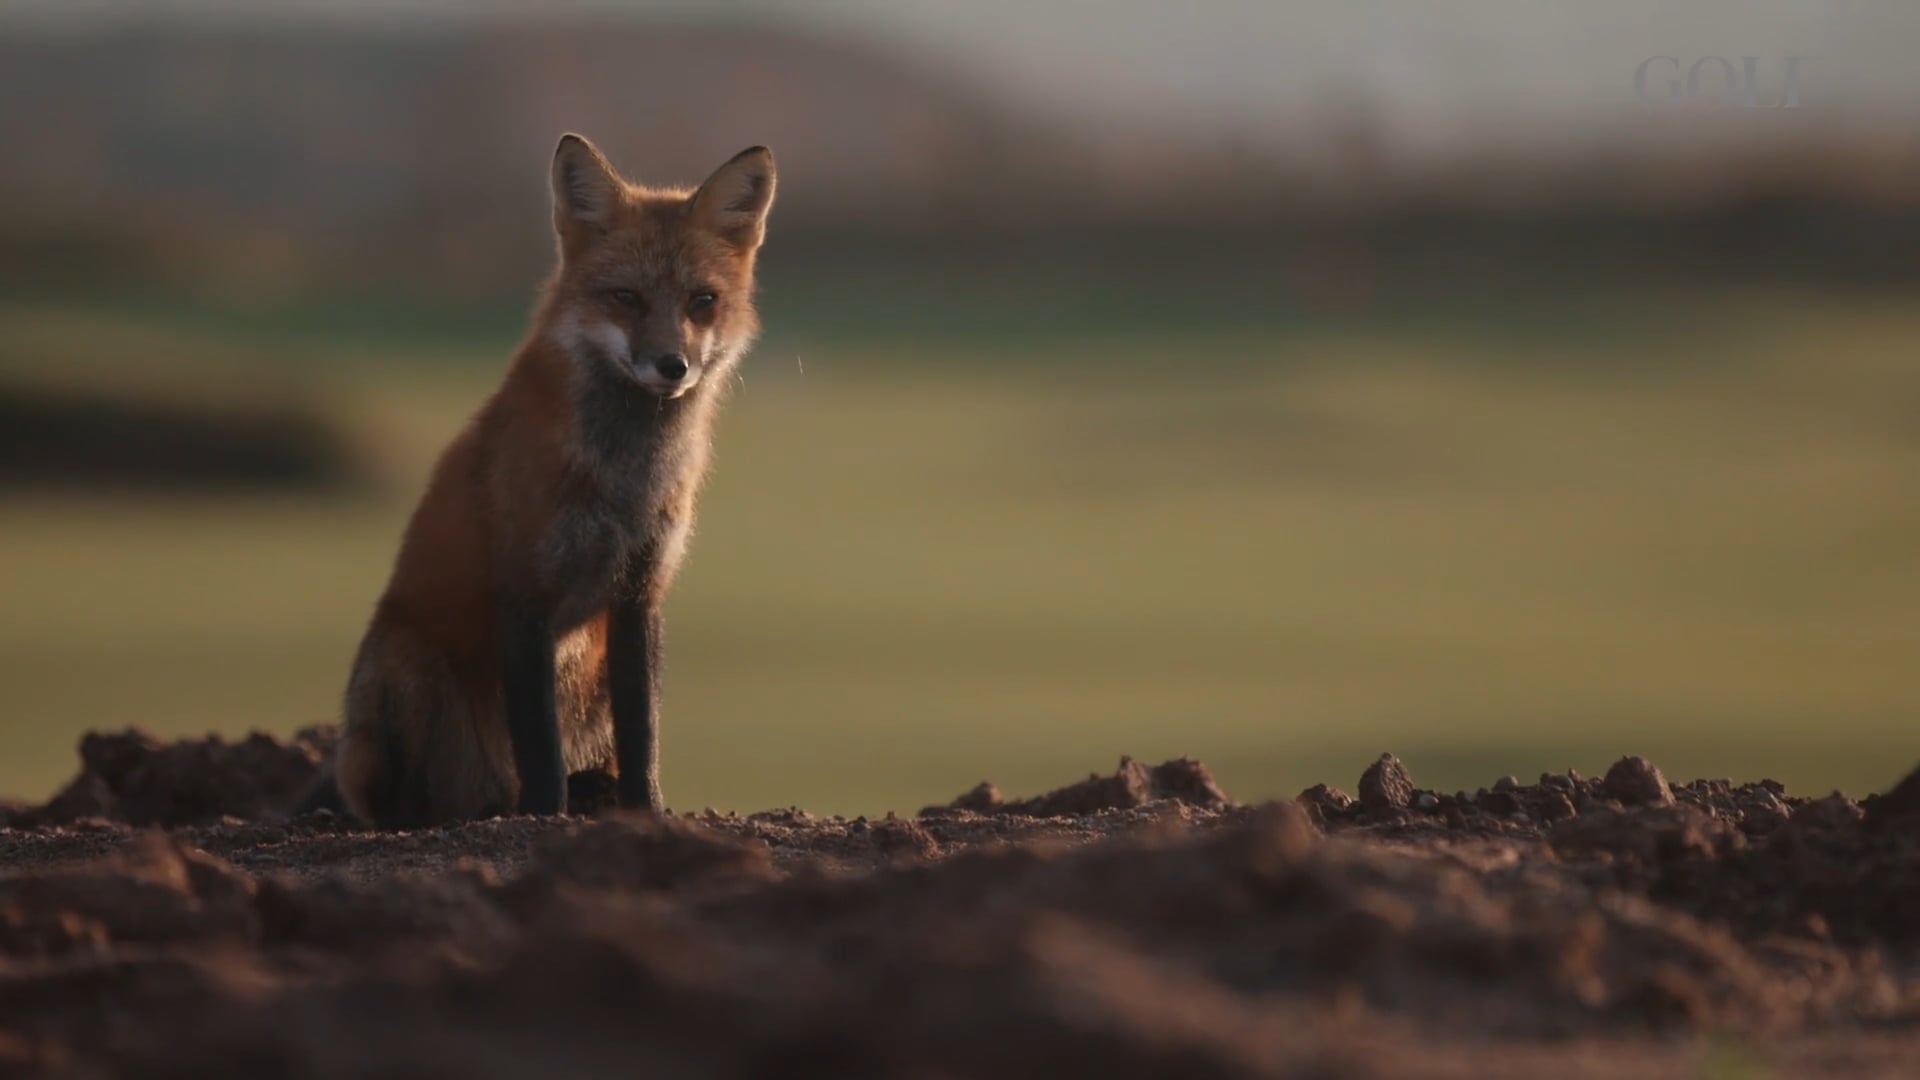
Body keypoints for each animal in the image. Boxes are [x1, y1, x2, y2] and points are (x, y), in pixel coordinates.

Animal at [326, 134, 775, 822]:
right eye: (626, 298)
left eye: (703, 302)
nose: (672, 365)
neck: (624, 478)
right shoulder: (525, 594)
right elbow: (539, 742)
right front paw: (546, 814)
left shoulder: (640, 595)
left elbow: (642, 733)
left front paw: (646, 812)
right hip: (405, 665)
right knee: (435, 798)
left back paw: (584, 794)